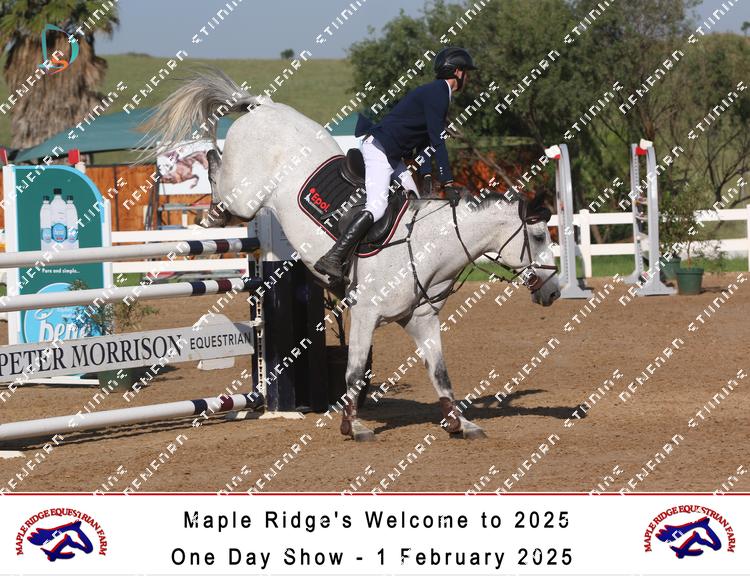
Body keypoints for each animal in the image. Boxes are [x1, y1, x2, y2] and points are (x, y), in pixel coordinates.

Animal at [140, 70, 561, 441]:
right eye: (540, 235)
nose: (555, 291)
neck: (426, 247)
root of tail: (265, 106)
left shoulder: (422, 321)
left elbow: (440, 375)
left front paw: (461, 424)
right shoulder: (364, 314)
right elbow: (355, 372)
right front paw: (353, 427)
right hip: (245, 194)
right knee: (218, 169)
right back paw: (209, 203)